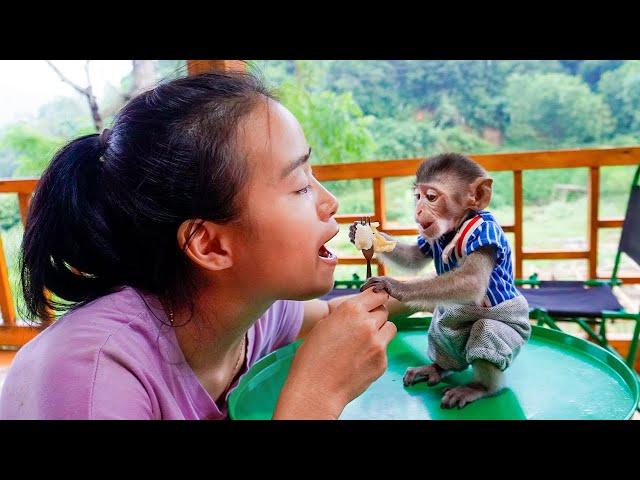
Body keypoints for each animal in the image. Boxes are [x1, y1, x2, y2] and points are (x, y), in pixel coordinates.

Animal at [350, 153, 528, 408]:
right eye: (418, 197)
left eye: (431, 197)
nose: (418, 211)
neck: (454, 228)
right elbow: (414, 256)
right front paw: (365, 234)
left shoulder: (484, 232)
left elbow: (472, 281)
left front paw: (393, 285)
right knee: (442, 334)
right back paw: (438, 367)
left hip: (517, 331)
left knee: (487, 331)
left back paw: (481, 387)